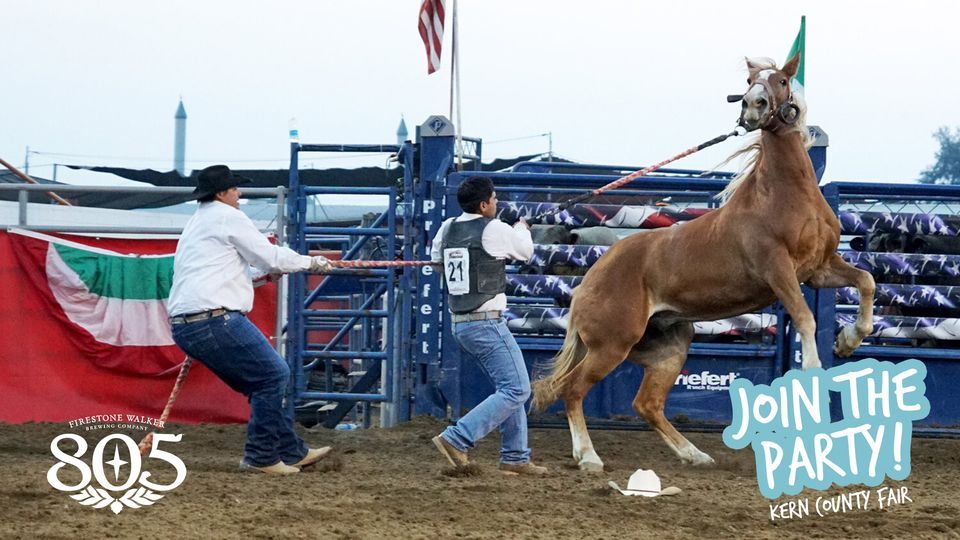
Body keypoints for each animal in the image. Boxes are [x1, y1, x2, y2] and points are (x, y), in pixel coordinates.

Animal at [532, 52, 876, 470]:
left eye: (780, 80)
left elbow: (866, 281)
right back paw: (589, 457)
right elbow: (806, 318)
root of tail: (589, 281)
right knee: (572, 389)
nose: (753, 106)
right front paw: (814, 371)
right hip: (610, 346)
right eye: (749, 81)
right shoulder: (778, 271)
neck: (784, 195)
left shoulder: (818, 270)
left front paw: (848, 340)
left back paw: (695, 454)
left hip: (668, 349)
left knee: (646, 404)